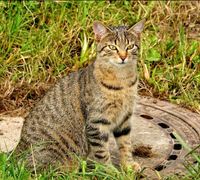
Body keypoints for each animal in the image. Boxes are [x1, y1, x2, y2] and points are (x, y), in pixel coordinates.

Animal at [15, 19, 144, 172]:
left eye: (130, 46)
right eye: (112, 47)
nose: (123, 57)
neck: (122, 80)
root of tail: (16, 152)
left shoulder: (125, 118)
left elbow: (125, 144)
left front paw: (128, 165)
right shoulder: (96, 122)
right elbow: (102, 152)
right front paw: (110, 172)